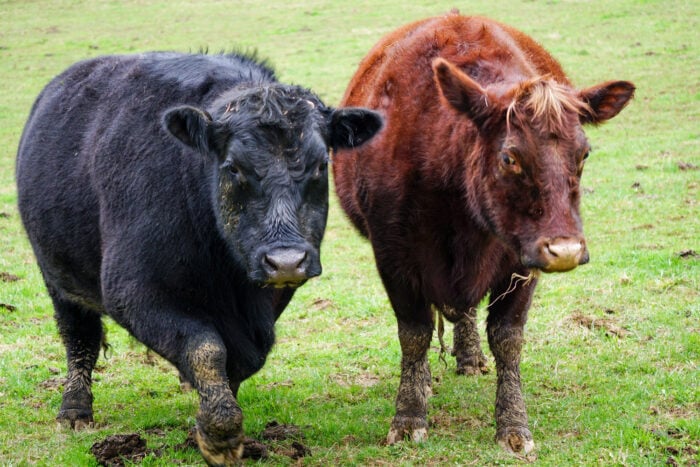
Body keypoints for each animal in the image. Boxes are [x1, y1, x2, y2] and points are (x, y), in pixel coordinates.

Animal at [16, 51, 382, 466]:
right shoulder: (135, 291)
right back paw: (75, 410)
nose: (285, 260)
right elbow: (206, 349)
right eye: (233, 166)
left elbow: (239, 361)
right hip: (58, 278)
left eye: (322, 165)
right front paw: (219, 435)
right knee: (80, 339)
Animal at [333, 13, 634, 455]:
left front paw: (514, 425)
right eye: (510, 157)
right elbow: (414, 334)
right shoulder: (393, 256)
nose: (565, 250)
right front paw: (409, 416)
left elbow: (508, 339)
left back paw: (470, 357)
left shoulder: (522, 262)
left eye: (583, 154)